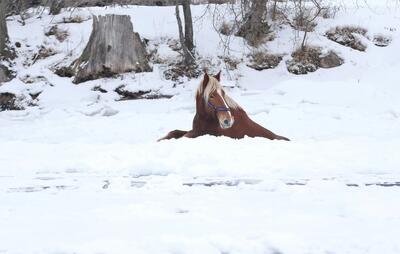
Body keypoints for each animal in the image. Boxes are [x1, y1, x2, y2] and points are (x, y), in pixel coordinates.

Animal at [158, 72, 290, 141]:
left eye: (223, 93)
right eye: (211, 96)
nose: (227, 121)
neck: (206, 119)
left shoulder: (203, 134)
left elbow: (184, 136)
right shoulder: (195, 130)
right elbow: (174, 132)